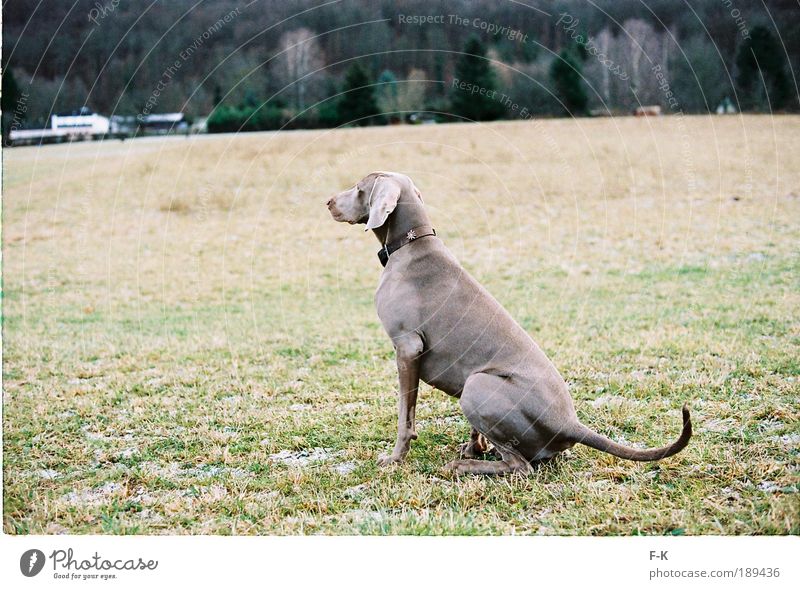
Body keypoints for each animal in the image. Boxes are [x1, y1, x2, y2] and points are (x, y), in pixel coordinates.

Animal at [328, 170, 692, 474]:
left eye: (359, 188)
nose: (328, 202)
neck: (411, 242)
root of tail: (569, 423)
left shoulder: (407, 347)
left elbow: (405, 415)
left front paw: (394, 458)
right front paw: (474, 446)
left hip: (478, 386)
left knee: (521, 467)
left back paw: (462, 467)